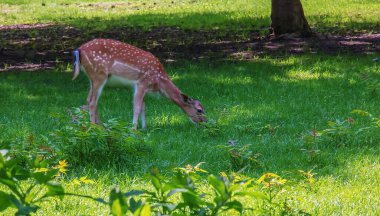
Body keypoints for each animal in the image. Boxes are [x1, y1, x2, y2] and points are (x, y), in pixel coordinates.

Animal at [72, 38, 206, 129]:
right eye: (199, 110)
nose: (205, 121)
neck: (159, 82)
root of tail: (80, 50)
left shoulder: (138, 87)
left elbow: (143, 106)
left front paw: (144, 127)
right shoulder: (142, 83)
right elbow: (136, 107)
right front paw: (134, 129)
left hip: (92, 78)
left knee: (89, 100)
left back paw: (102, 126)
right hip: (99, 74)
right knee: (92, 102)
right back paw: (94, 127)